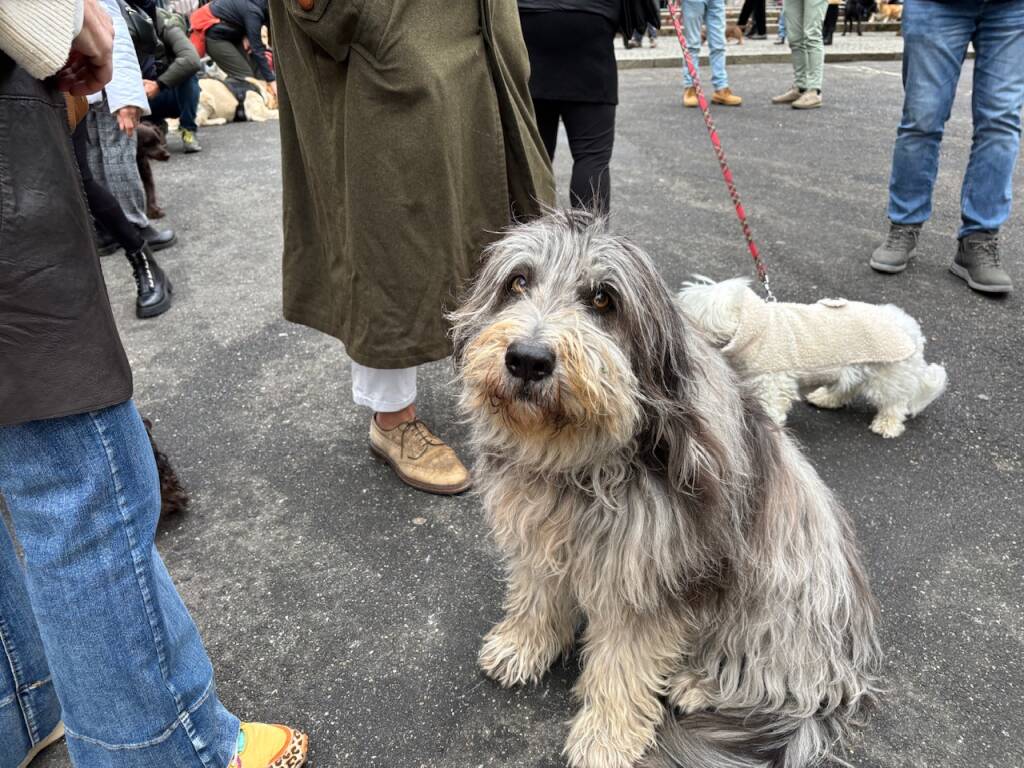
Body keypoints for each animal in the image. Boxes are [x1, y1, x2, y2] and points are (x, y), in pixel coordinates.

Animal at [452, 210, 884, 768]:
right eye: (518, 282)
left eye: (603, 299)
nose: (527, 359)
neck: (582, 459)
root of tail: (843, 671)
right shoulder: (541, 533)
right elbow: (537, 592)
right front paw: (522, 645)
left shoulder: (654, 571)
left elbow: (624, 663)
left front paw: (605, 736)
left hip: (780, 595)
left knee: (776, 679)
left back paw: (698, 683)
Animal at [675, 280, 946, 438]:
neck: (755, 329)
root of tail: (908, 326)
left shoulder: (773, 382)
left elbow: (772, 407)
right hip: (855, 366)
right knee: (848, 387)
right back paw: (826, 398)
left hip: (888, 374)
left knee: (895, 402)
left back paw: (887, 425)